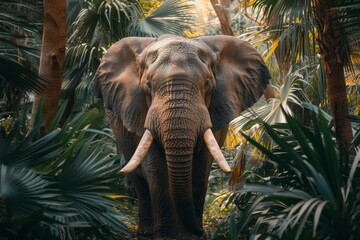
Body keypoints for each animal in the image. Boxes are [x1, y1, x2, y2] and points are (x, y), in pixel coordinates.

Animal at [93, 34, 270, 239]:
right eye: (148, 85)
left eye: (207, 83)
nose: (202, 231)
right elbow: (155, 167)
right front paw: (167, 236)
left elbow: (201, 166)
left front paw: (191, 236)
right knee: (138, 180)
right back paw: (146, 231)